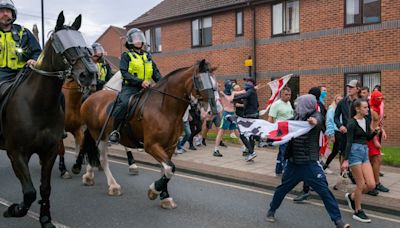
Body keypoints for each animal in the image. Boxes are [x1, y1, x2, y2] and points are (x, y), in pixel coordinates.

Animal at [0, 12, 97, 228]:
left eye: (82, 41)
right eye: (60, 42)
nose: (90, 74)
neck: (37, 104)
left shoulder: (49, 150)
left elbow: (44, 189)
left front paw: (45, 219)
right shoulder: (15, 152)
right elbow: (29, 192)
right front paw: (13, 210)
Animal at [78, 59, 216, 208]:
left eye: (214, 82)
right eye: (200, 80)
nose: (209, 112)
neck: (164, 108)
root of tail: (91, 97)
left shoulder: (170, 146)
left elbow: (165, 169)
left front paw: (165, 197)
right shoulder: (151, 145)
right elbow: (170, 168)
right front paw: (154, 190)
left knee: (93, 152)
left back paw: (88, 176)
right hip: (100, 135)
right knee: (102, 158)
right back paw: (113, 186)